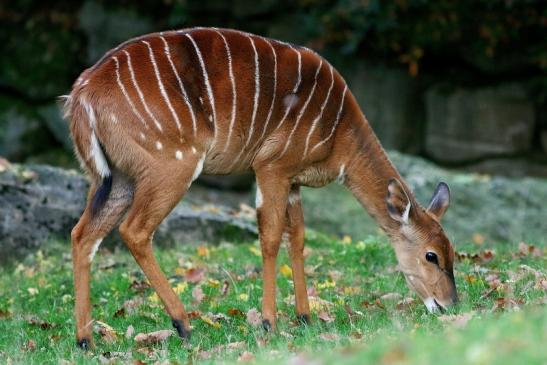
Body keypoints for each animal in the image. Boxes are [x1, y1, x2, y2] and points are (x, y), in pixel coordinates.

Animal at [64, 27, 458, 346]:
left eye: (452, 252)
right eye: (432, 256)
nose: (450, 304)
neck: (340, 134)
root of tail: (81, 96)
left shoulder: (294, 181)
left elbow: (297, 239)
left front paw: (305, 317)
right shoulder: (271, 165)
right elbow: (269, 238)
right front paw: (270, 322)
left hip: (115, 178)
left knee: (82, 234)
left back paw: (86, 340)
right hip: (171, 166)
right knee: (134, 230)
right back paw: (183, 325)